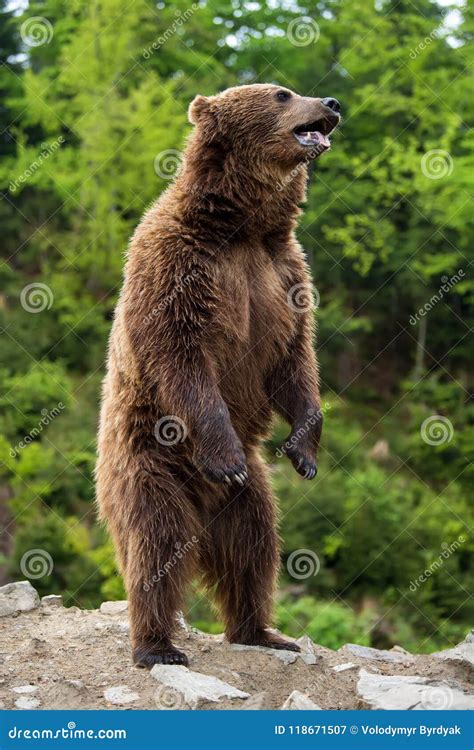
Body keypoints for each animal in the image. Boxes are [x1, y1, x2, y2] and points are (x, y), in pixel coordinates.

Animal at [95, 83, 340, 668]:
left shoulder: (284, 273)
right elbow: (182, 360)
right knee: (157, 543)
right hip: (149, 465)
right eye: (281, 94)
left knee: (254, 546)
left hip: (247, 496)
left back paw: (261, 630)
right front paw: (225, 455)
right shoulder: (176, 266)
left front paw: (304, 451)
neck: (241, 228)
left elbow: (294, 361)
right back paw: (157, 644)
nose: (332, 103)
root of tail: (203, 510)